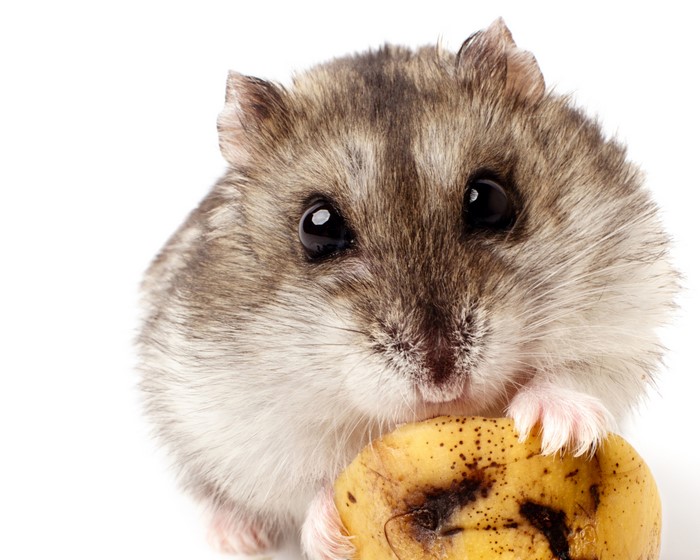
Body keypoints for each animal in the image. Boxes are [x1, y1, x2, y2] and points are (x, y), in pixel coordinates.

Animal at [138, 18, 677, 560]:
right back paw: (238, 536)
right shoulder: (231, 412)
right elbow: (300, 483)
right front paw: (330, 535)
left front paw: (555, 428)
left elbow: (581, 373)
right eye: (317, 228)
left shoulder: (623, 311)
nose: (443, 383)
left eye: (489, 199)